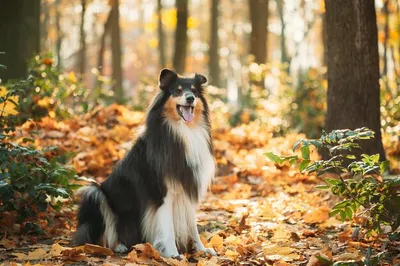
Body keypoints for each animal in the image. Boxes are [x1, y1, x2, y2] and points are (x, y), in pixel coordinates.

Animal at [74, 68, 216, 258]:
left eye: (194, 91)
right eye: (177, 91)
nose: (190, 98)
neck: (183, 131)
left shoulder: (187, 188)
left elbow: (192, 225)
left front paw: (201, 249)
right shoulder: (161, 192)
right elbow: (168, 228)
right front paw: (173, 254)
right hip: (95, 193)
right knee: (99, 236)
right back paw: (117, 246)